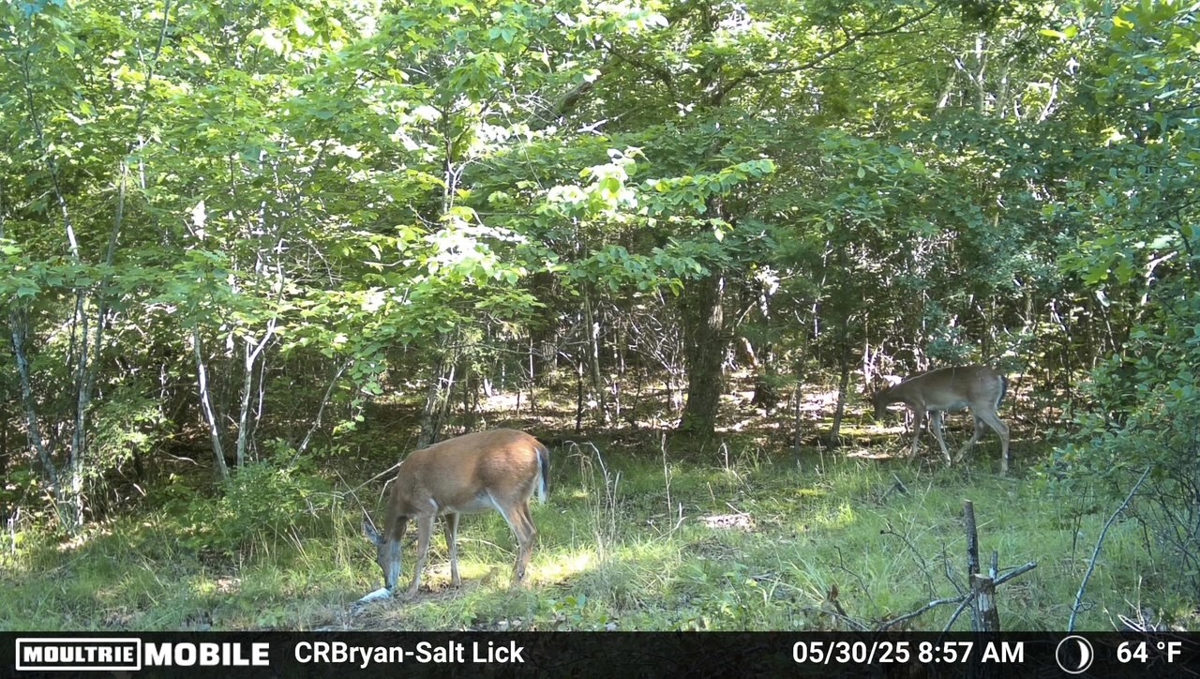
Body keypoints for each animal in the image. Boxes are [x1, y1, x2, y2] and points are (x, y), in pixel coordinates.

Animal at [363, 428, 550, 598]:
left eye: (379, 557)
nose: (388, 585)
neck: (402, 500)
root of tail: (538, 448)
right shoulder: (450, 509)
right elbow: (451, 542)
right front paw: (456, 582)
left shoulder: (426, 508)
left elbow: (422, 549)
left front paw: (411, 591)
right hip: (522, 498)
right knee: (532, 529)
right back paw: (514, 576)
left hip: (506, 493)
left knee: (526, 533)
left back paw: (515, 583)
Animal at [870, 365, 1012, 475]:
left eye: (875, 400)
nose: (877, 418)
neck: (902, 391)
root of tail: (1000, 377)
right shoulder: (934, 409)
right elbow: (937, 431)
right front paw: (947, 461)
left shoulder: (919, 405)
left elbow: (916, 432)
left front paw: (909, 460)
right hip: (976, 406)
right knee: (981, 428)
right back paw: (956, 458)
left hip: (982, 403)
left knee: (1003, 428)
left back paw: (1003, 470)